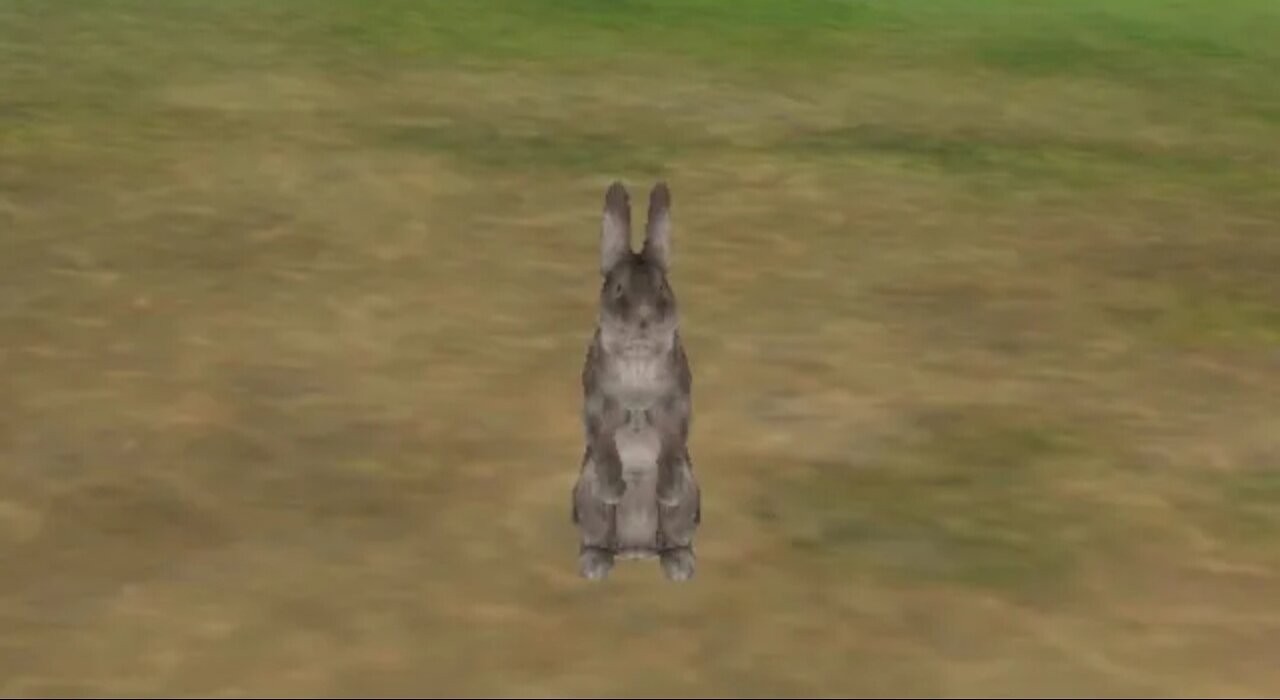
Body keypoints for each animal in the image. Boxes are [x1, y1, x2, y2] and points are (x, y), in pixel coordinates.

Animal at [570, 181, 701, 582]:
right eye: (617, 289)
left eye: (663, 288)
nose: (643, 318)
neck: (638, 358)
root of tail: (636, 551)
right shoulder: (597, 404)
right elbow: (601, 437)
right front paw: (614, 488)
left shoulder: (676, 405)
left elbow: (673, 438)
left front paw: (667, 490)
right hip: (589, 502)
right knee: (599, 532)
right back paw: (595, 565)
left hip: (686, 506)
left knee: (675, 532)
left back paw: (679, 567)